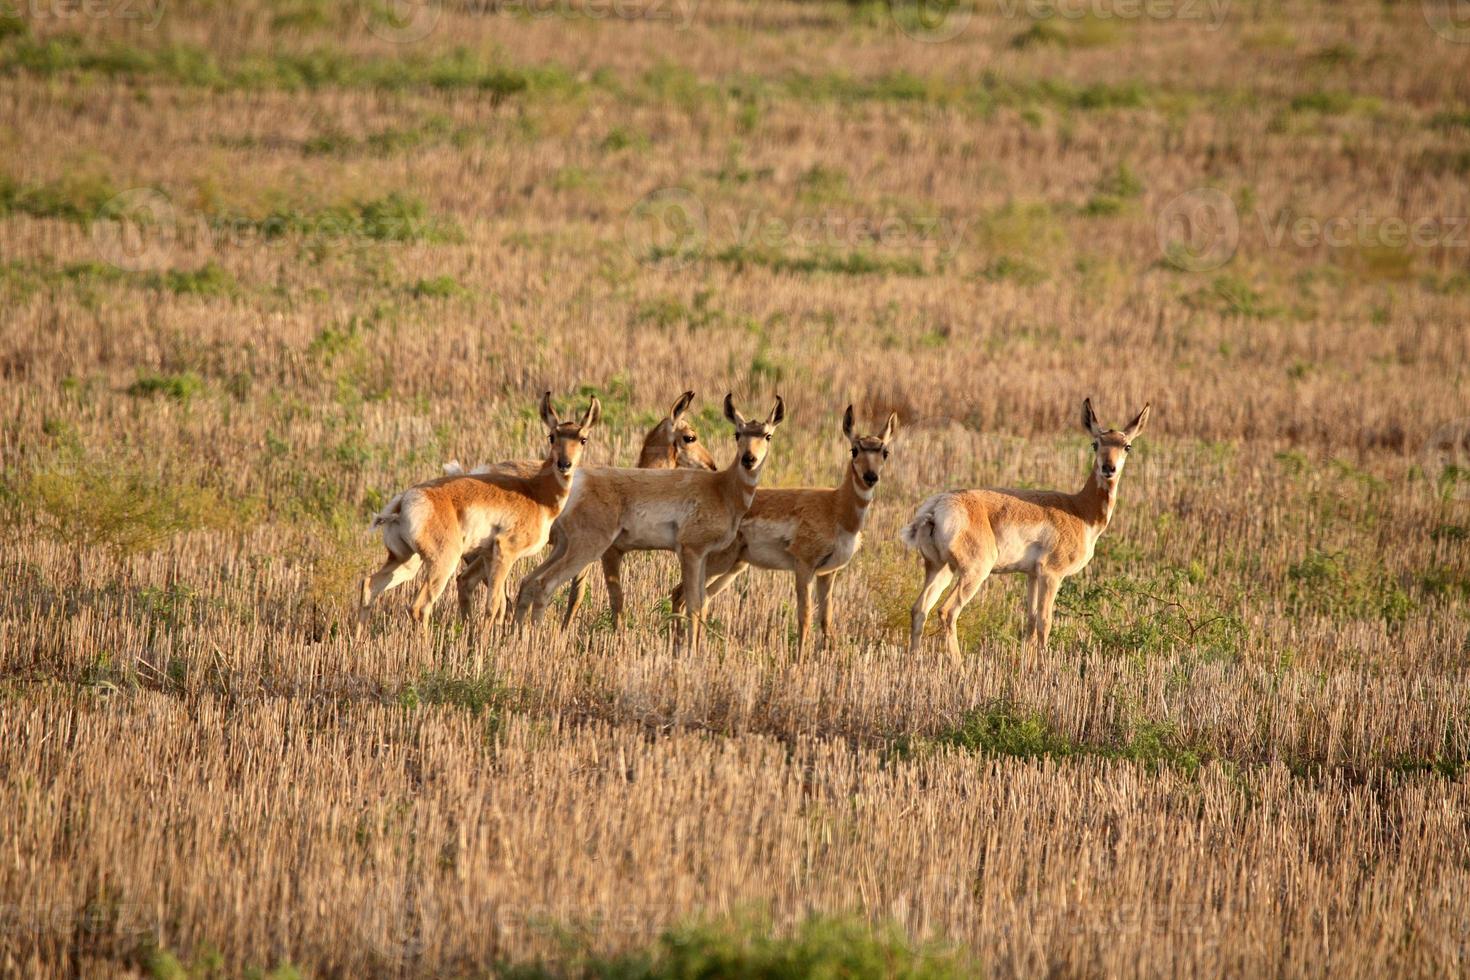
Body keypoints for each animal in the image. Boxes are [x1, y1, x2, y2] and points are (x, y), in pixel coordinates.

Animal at [358, 393, 599, 628]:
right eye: (552, 436)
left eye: (583, 439)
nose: (564, 464)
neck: (536, 492)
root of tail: (406, 500)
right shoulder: (505, 552)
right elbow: (493, 607)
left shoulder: (489, 556)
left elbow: (499, 607)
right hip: (442, 563)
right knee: (420, 607)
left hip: (405, 561)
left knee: (369, 586)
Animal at [517, 393, 793, 646]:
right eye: (690, 437)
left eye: (768, 435)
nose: (713, 465)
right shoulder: (623, 554)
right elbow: (612, 599)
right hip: (582, 548)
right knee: (543, 584)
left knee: (528, 582)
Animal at [673, 405, 893, 652]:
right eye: (854, 450)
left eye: (885, 452)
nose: (871, 477)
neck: (836, 506)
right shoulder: (804, 566)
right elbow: (805, 617)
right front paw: (799, 658)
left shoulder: (828, 573)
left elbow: (826, 620)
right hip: (716, 562)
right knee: (680, 594)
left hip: (734, 566)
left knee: (701, 598)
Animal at [899, 399, 1152, 658]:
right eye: (1095, 443)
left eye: (1127, 446)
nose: (1108, 468)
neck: (1079, 509)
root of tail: (938, 504)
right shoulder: (1051, 574)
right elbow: (1044, 622)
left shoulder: (1032, 575)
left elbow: (1030, 622)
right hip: (974, 572)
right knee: (947, 611)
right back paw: (958, 665)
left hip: (940, 568)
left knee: (919, 609)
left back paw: (914, 660)